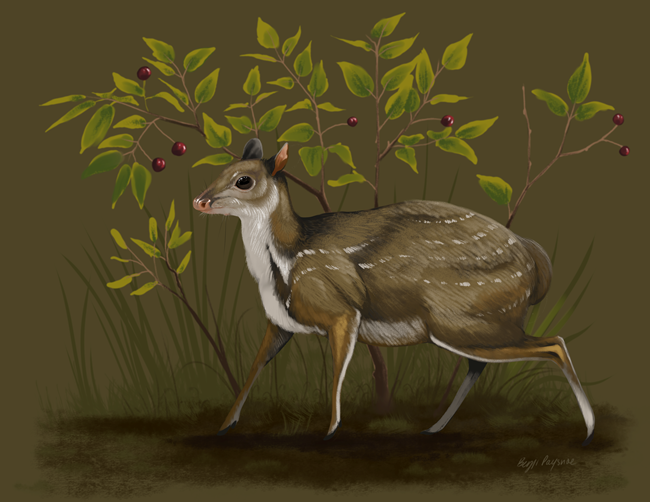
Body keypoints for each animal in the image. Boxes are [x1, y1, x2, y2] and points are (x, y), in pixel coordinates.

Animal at [192, 138, 595, 446]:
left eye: (244, 180)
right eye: (221, 170)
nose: (199, 200)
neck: (286, 262)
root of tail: (537, 264)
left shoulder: (341, 309)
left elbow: (336, 371)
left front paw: (329, 431)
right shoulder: (281, 321)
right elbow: (253, 367)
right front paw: (224, 426)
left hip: (463, 317)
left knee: (554, 344)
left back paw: (589, 431)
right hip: (475, 322)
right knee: (481, 364)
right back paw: (433, 428)